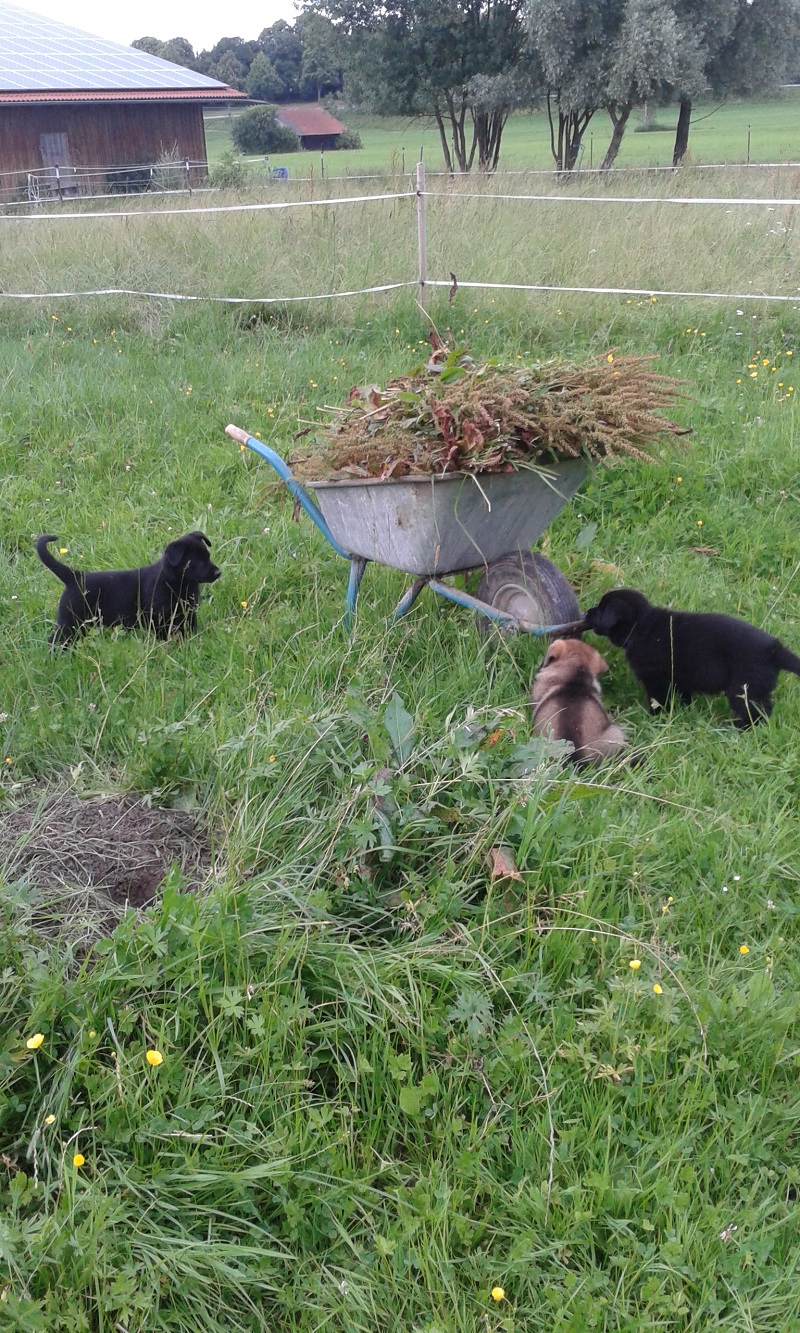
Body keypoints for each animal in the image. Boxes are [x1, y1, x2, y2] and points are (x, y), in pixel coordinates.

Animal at [36, 527, 220, 642]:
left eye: (208, 556)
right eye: (196, 561)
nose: (218, 573)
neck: (178, 583)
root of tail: (74, 576)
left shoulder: (189, 613)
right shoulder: (159, 618)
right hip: (70, 622)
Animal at [581, 586, 800, 730]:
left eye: (601, 609)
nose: (586, 613)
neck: (641, 625)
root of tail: (774, 649)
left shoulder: (656, 680)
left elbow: (658, 700)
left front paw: (654, 717)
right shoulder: (681, 679)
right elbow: (684, 696)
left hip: (744, 688)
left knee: (755, 712)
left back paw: (739, 729)